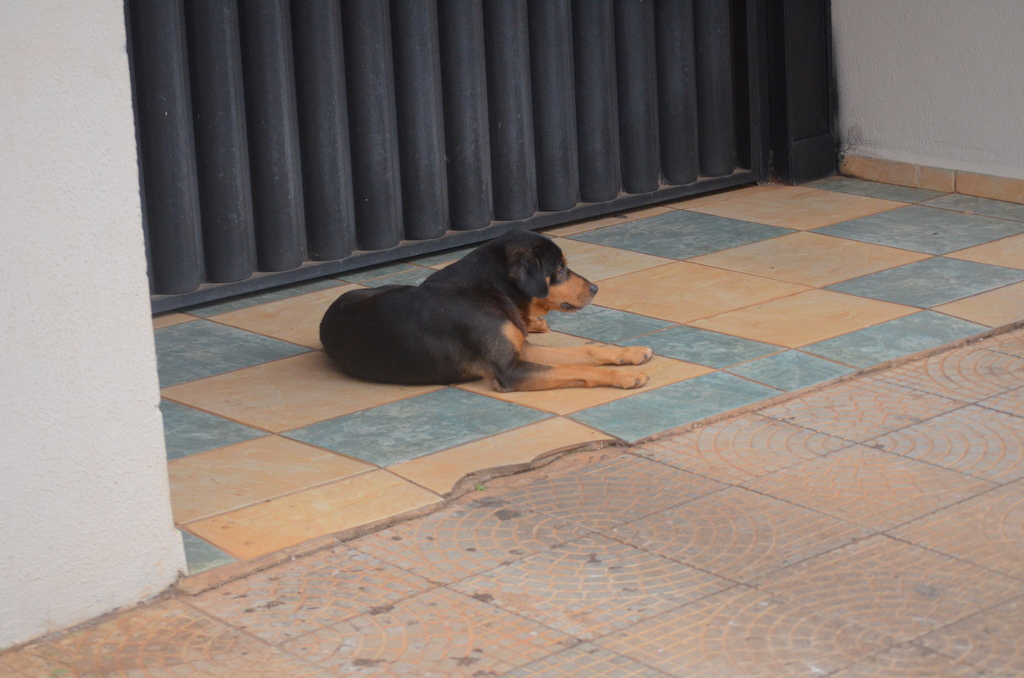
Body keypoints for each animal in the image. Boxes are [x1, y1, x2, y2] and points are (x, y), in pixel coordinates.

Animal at [319, 231, 651, 393]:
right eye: (558, 269)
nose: (595, 288)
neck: (491, 292)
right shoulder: (508, 370)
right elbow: (576, 368)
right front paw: (624, 376)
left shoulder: (519, 349)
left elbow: (585, 352)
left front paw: (631, 353)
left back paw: (537, 322)